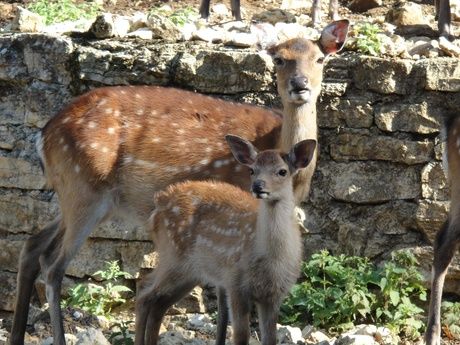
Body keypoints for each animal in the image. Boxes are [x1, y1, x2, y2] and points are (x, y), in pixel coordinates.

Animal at [135, 135, 318, 344]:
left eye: (282, 171)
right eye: (252, 170)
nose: (258, 186)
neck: (270, 259)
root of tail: (160, 200)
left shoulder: (274, 295)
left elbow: (270, 339)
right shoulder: (235, 283)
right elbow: (241, 336)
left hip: (189, 271)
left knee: (155, 302)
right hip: (173, 257)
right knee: (145, 295)